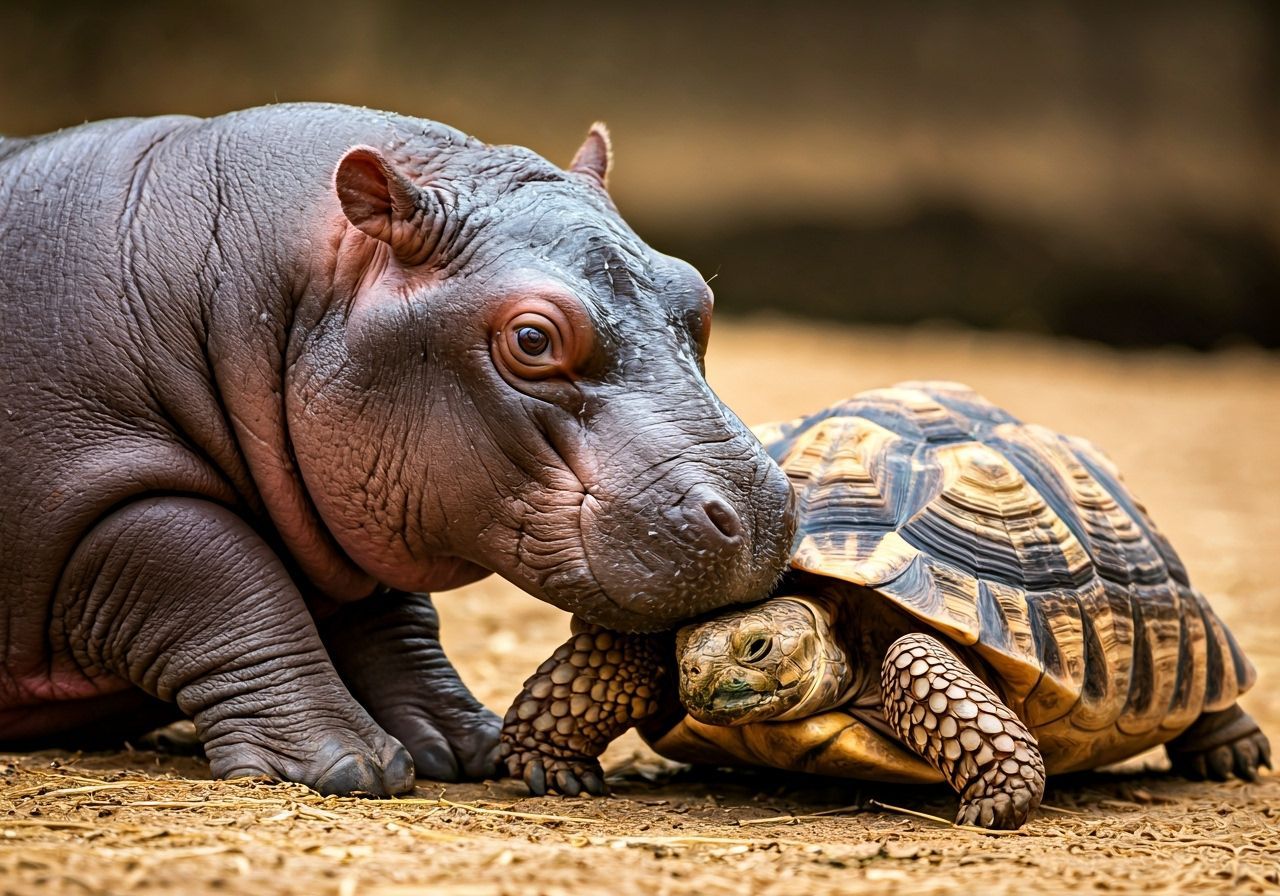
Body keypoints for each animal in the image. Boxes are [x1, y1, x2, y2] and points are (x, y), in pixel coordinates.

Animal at [0, 103, 795, 796]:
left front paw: (466, 745)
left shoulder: (357, 498)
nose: (761, 514)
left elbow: (395, 618)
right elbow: (220, 575)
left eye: (698, 297)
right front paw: (346, 766)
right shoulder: (94, 491)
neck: (231, 283)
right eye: (532, 339)